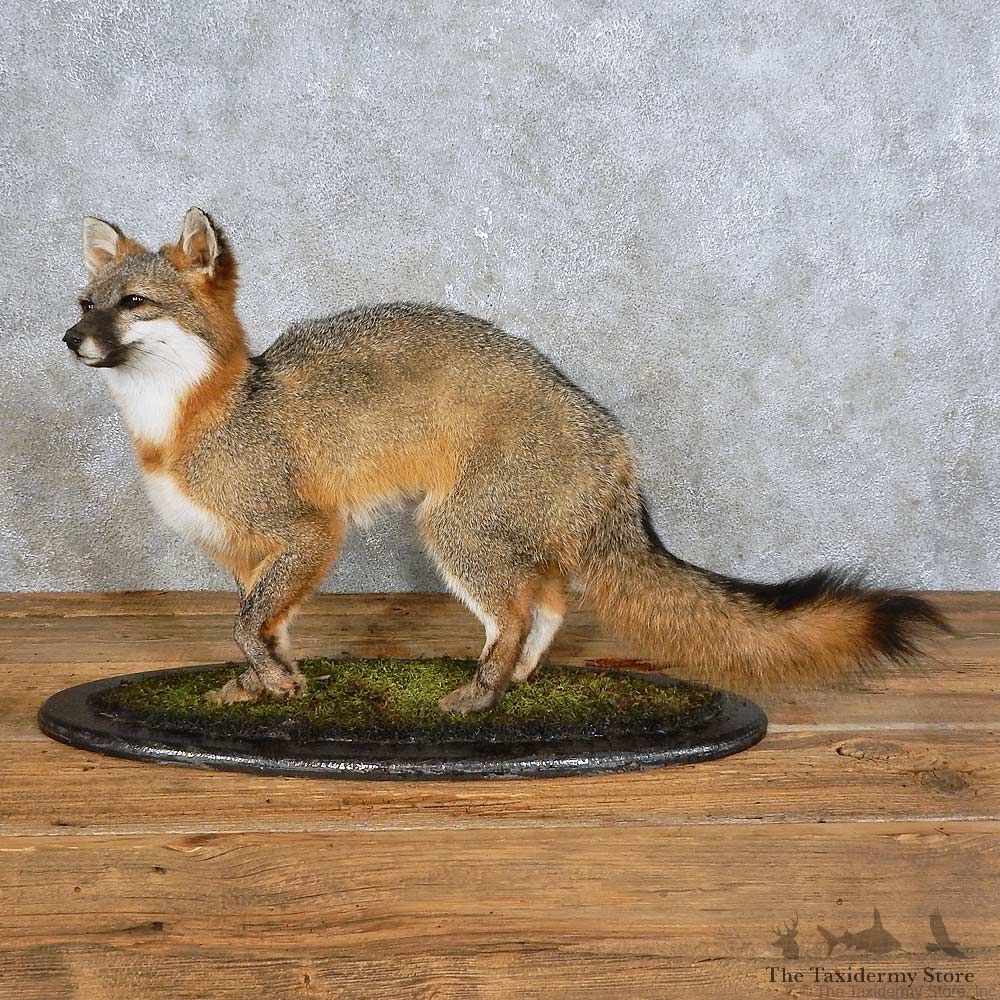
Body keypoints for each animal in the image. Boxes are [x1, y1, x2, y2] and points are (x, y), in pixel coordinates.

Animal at [63, 208, 946, 713]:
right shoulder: (249, 554)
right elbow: (264, 629)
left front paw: (270, 681)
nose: (70, 338)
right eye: (85, 302)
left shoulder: (309, 532)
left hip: (452, 530)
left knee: (521, 610)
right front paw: (264, 687)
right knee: (547, 601)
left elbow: (247, 622)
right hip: (489, 538)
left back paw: (481, 695)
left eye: (134, 304)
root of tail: (611, 434)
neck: (192, 419)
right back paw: (514, 681)